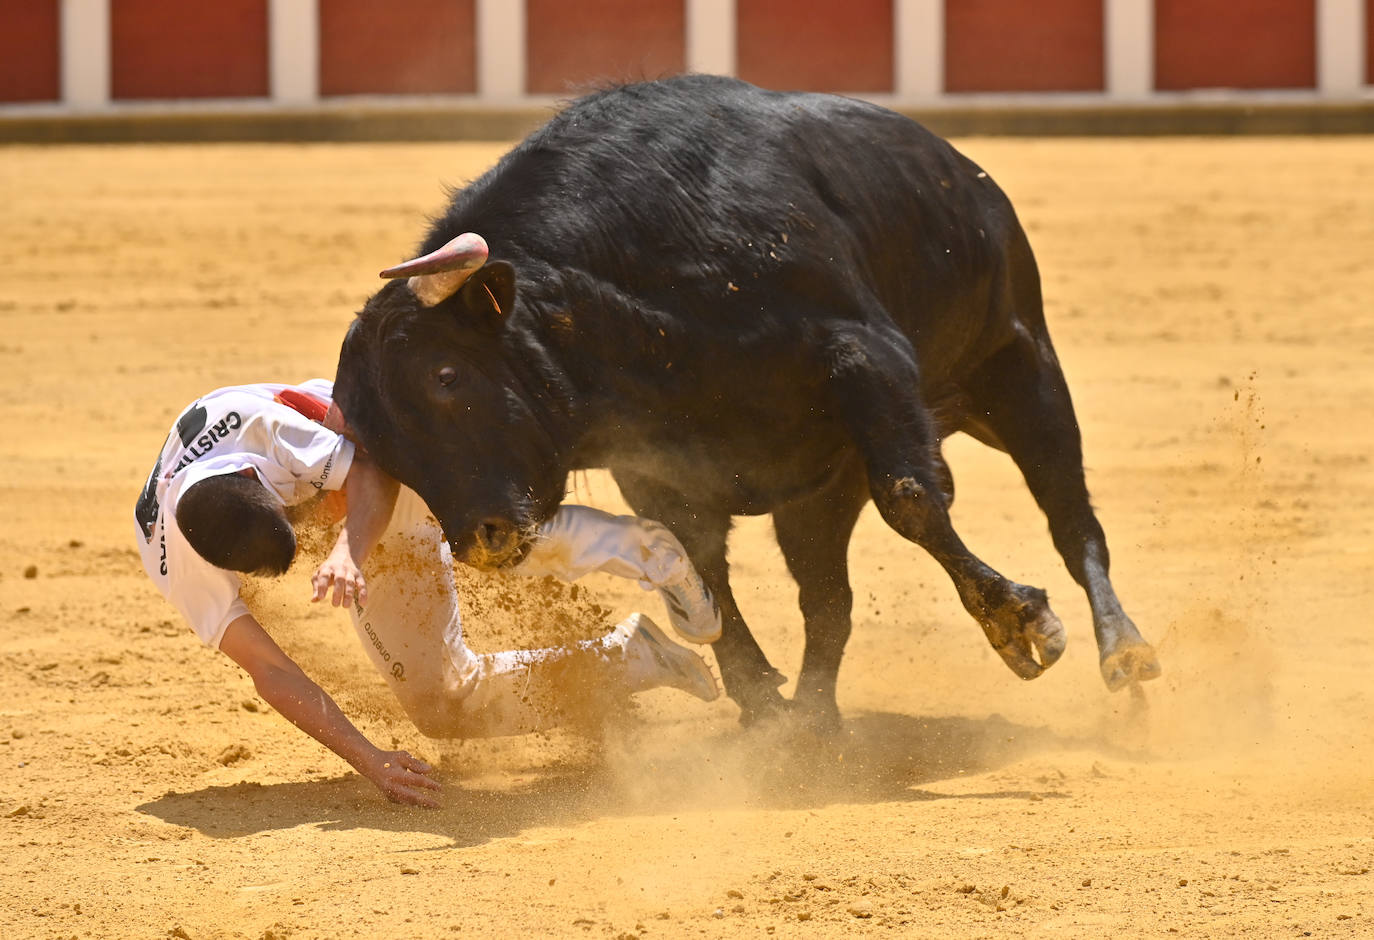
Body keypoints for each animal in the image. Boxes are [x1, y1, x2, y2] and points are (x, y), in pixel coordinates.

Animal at [332, 75, 1159, 725]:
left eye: (446, 376)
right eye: (380, 445)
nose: (482, 539)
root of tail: (965, 171)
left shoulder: (869, 359)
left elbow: (912, 497)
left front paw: (1019, 623)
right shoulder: (655, 467)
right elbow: (705, 568)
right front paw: (763, 706)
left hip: (1021, 369)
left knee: (1070, 517)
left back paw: (1124, 651)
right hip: (819, 498)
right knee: (827, 601)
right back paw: (815, 723)